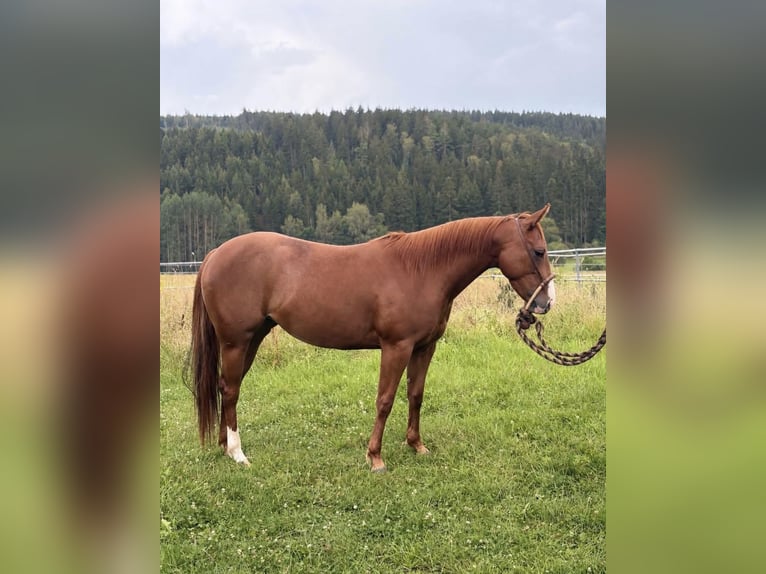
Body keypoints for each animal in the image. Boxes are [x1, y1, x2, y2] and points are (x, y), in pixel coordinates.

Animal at [189, 204, 556, 472]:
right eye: (538, 251)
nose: (546, 302)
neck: (421, 269)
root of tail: (215, 253)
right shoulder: (396, 347)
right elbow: (385, 400)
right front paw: (375, 457)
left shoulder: (424, 347)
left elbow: (415, 395)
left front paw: (416, 445)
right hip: (236, 342)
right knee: (231, 390)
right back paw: (238, 453)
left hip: (252, 340)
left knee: (226, 387)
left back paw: (225, 447)